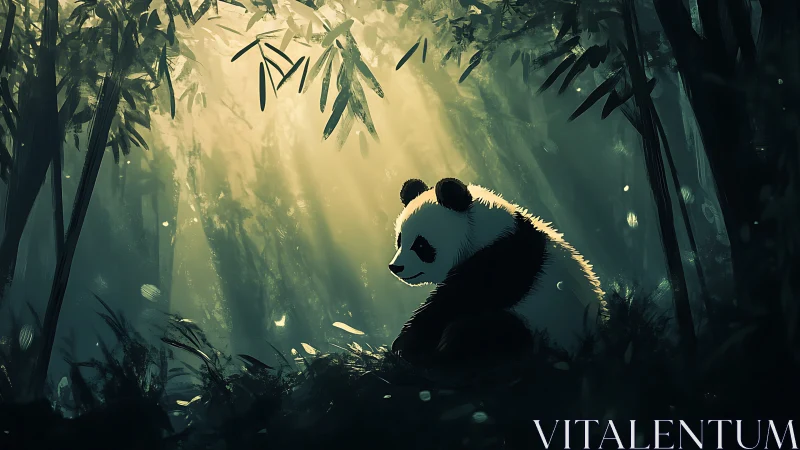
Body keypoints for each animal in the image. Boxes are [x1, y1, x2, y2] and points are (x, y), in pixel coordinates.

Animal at [388, 177, 606, 367]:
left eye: (420, 245)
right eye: (400, 240)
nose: (396, 267)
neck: (483, 229)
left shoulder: (506, 257)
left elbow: (460, 298)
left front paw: (406, 344)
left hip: (545, 329)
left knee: (486, 333)